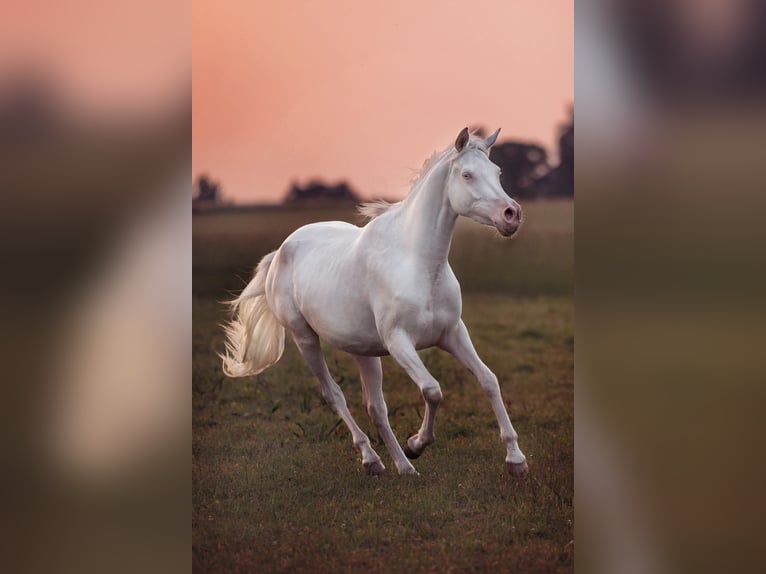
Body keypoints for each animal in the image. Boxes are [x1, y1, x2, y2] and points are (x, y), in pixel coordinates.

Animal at [221, 127, 528, 477]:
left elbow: (489, 381)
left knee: (375, 407)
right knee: (335, 395)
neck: (420, 264)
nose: (511, 214)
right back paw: (374, 459)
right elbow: (432, 390)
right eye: (467, 175)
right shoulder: (399, 342)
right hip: (305, 339)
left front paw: (516, 460)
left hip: (363, 351)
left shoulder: (452, 334)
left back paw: (399, 466)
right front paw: (417, 443)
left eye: (497, 173)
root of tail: (281, 251)